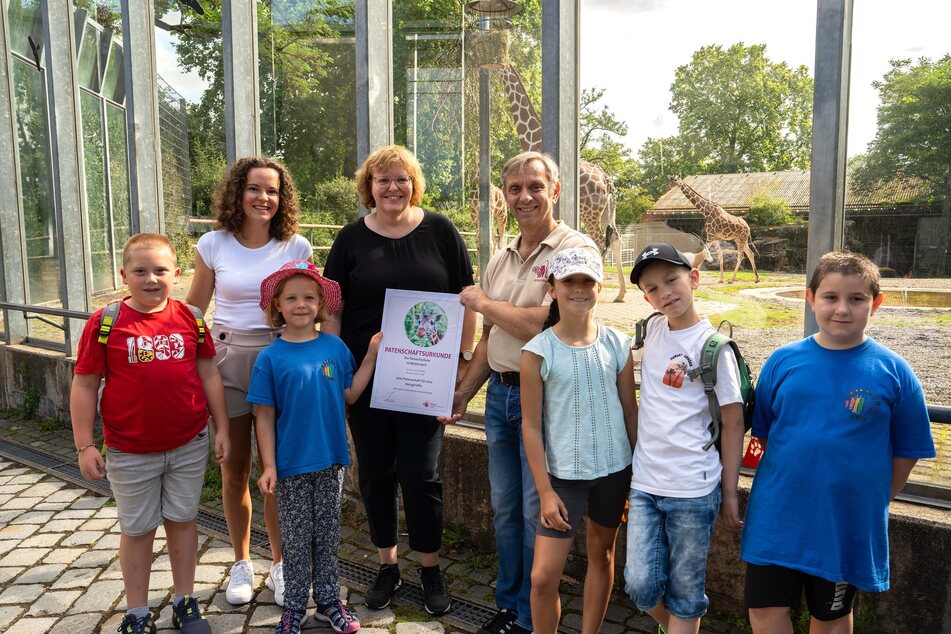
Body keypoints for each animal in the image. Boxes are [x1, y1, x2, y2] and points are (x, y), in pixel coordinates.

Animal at [494, 64, 628, 302]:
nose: (485, 65)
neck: (535, 137)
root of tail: (607, 180)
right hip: (608, 212)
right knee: (615, 238)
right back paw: (620, 293)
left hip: (590, 212)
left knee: (597, 240)